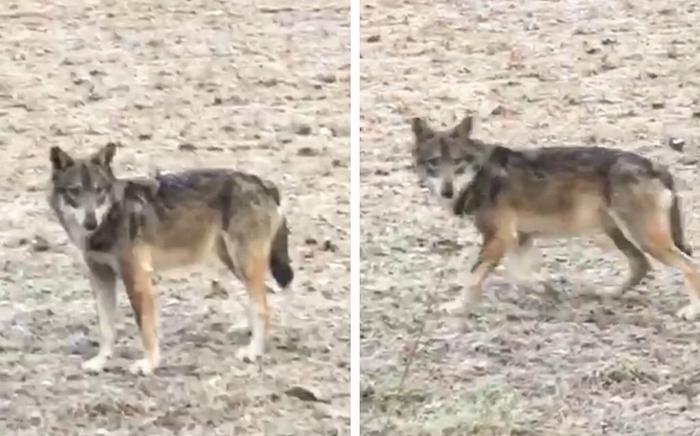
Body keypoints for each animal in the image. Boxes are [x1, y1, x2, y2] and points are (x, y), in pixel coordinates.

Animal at [48, 142, 293, 374]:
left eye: (98, 191)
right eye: (75, 191)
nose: (90, 222)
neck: (110, 219)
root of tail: (262, 183)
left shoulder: (136, 278)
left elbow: (145, 328)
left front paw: (148, 365)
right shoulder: (101, 279)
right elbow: (106, 329)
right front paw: (100, 362)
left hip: (244, 263)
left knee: (263, 308)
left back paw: (254, 351)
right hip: (234, 262)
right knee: (258, 301)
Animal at [411, 114, 700, 320]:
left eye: (456, 163)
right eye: (434, 163)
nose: (447, 192)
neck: (479, 173)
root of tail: (656, 166)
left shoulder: (500, 238)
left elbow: (473, 277)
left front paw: (456, 306)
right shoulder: (518, 239)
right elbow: (521, 275)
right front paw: (545, 286)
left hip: (643, 238)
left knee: (689, 267)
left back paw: (691, 311)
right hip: (616, 234)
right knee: (641, 266)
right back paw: (606, 294)